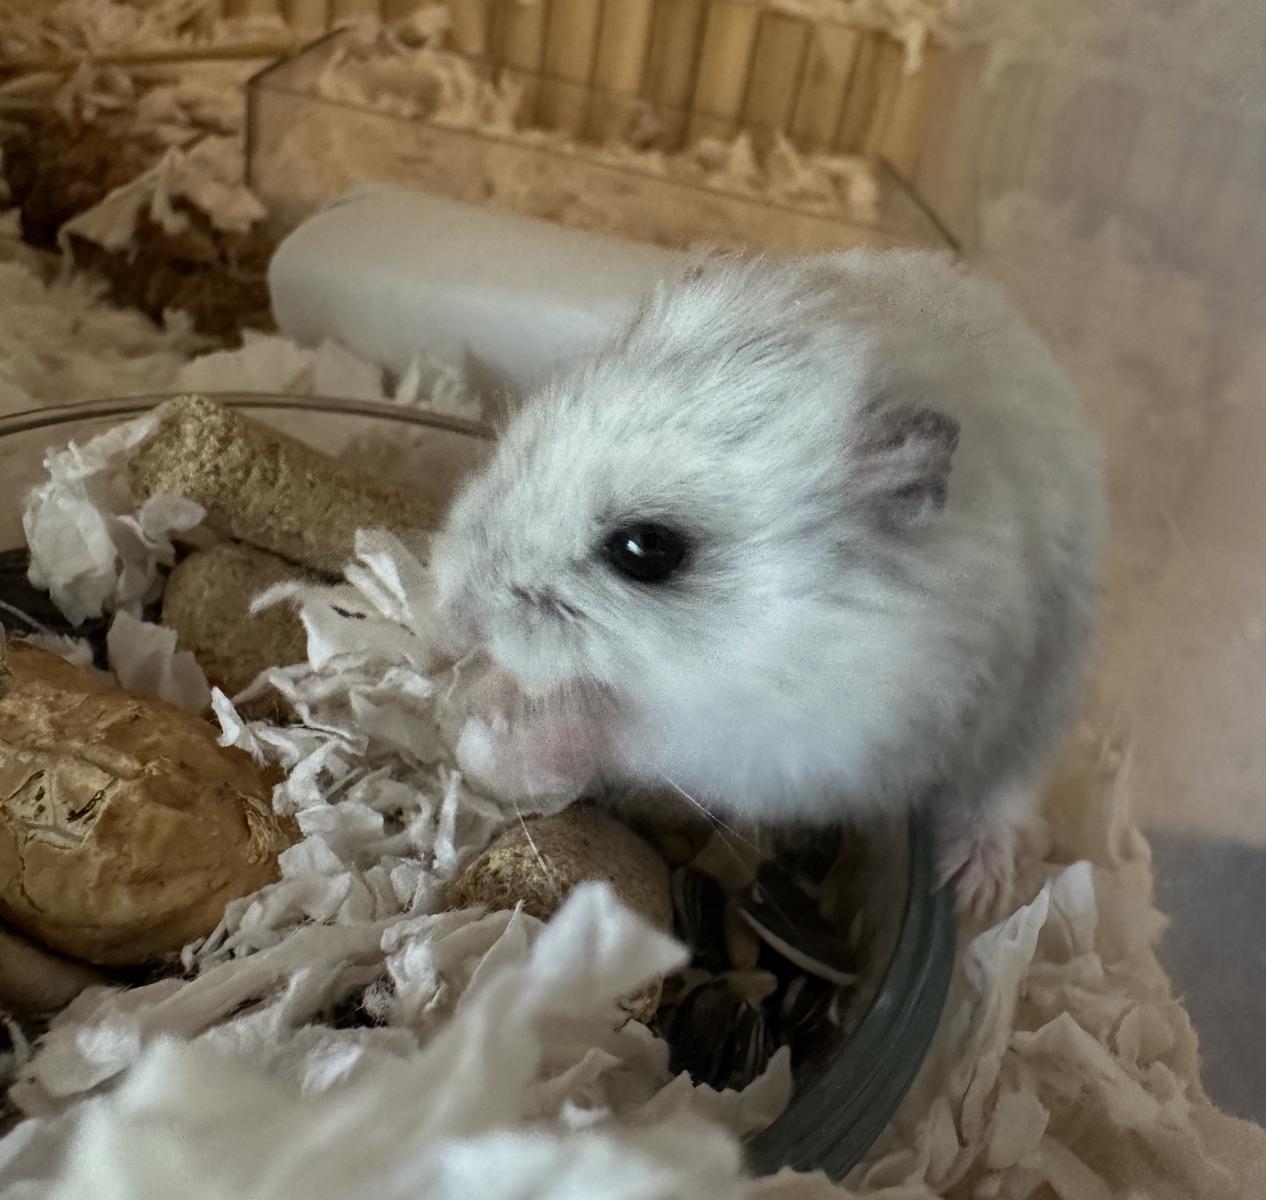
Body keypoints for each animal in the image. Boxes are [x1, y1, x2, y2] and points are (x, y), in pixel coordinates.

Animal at [429, 250, 1107, 919]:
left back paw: (976, 889)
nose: (450, 614)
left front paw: (485, 736)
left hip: (1041, 704)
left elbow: (623, 735)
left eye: (645, 548)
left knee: (1005, 790)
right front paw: (472, 690)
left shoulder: (788, 747)